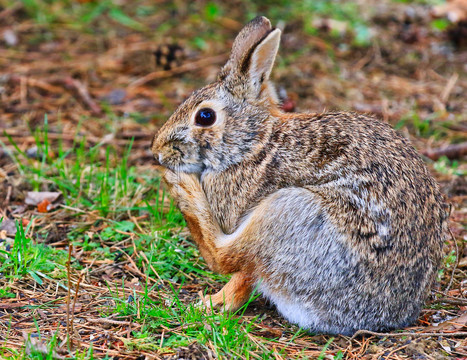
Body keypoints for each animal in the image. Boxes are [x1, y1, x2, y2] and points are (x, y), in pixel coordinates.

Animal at [151, 15, 450, 334]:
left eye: (205, 116)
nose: (158, 152)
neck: (255, 144)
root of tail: (375, 317)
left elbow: (235, 269)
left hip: (287, 211)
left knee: (224, 256)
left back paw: (182, 189)